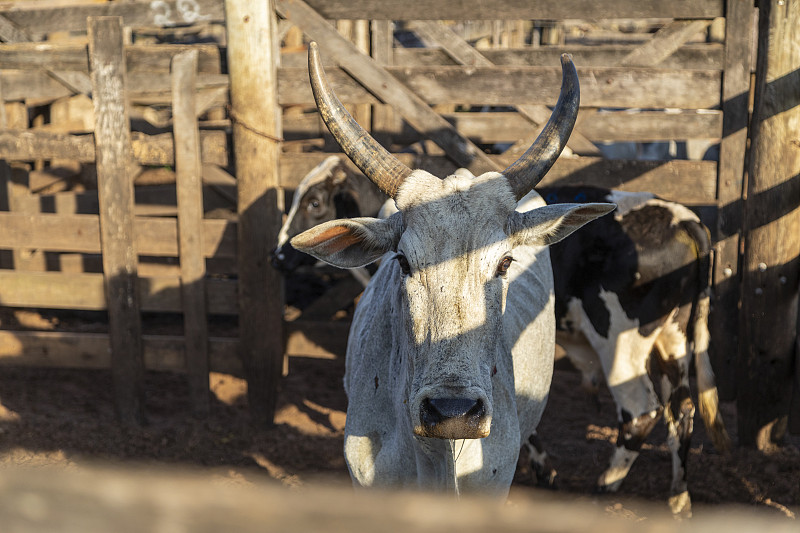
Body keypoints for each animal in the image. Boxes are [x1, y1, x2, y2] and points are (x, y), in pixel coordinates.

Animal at [524, 186, 732, 516]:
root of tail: (683, 218)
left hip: (619, 342)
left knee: (641, 410)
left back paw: (603, 487)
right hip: (674, 337)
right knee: (682, 409)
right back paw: (678, 497)